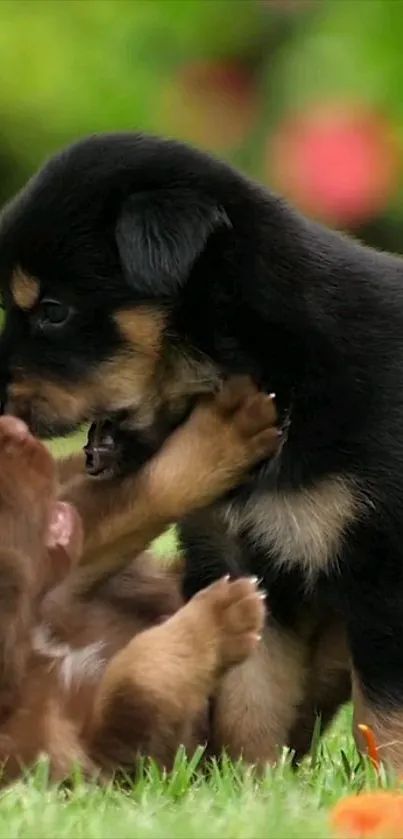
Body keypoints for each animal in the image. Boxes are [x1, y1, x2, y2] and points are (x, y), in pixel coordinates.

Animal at [0, 380, 280, 788]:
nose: (15, 428)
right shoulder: (92, 761)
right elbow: (134, 682)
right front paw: (222, 615)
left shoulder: (60, 588)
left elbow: (127, 501)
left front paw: (224, 431)